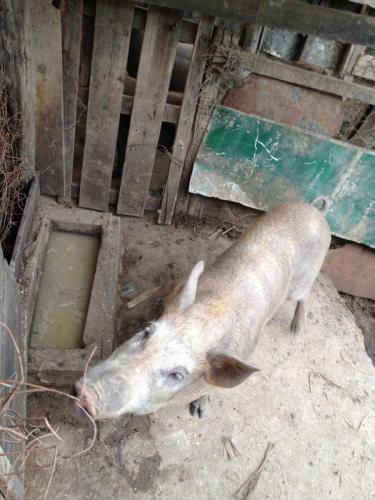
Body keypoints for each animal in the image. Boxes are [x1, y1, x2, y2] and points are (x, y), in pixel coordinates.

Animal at [73, 201, 332, 420]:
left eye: (177, 375)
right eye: (147, 332)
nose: (86, 393)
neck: (210, 316)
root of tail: (316, 210)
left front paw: (198, 412)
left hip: (304, 280)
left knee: (304, 295)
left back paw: (296, 329)